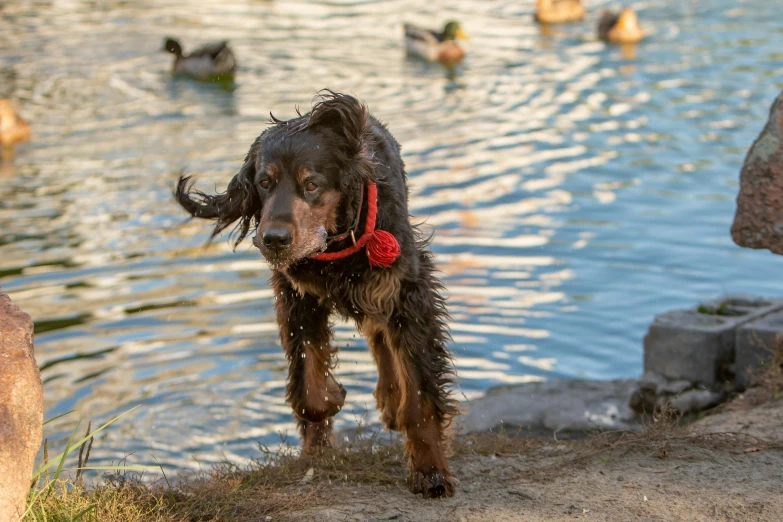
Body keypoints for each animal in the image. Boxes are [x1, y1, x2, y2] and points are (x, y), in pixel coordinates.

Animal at [176, 90, 460, 496]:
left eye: (311, 184)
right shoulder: (297, 298)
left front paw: (430, 470)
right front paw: (325, 419)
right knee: (377, 334)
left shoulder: (408, 290)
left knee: (383, 333)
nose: (274, 239)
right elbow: (309, 391)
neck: (336, 241)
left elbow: (419, 396)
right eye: (264, 182)